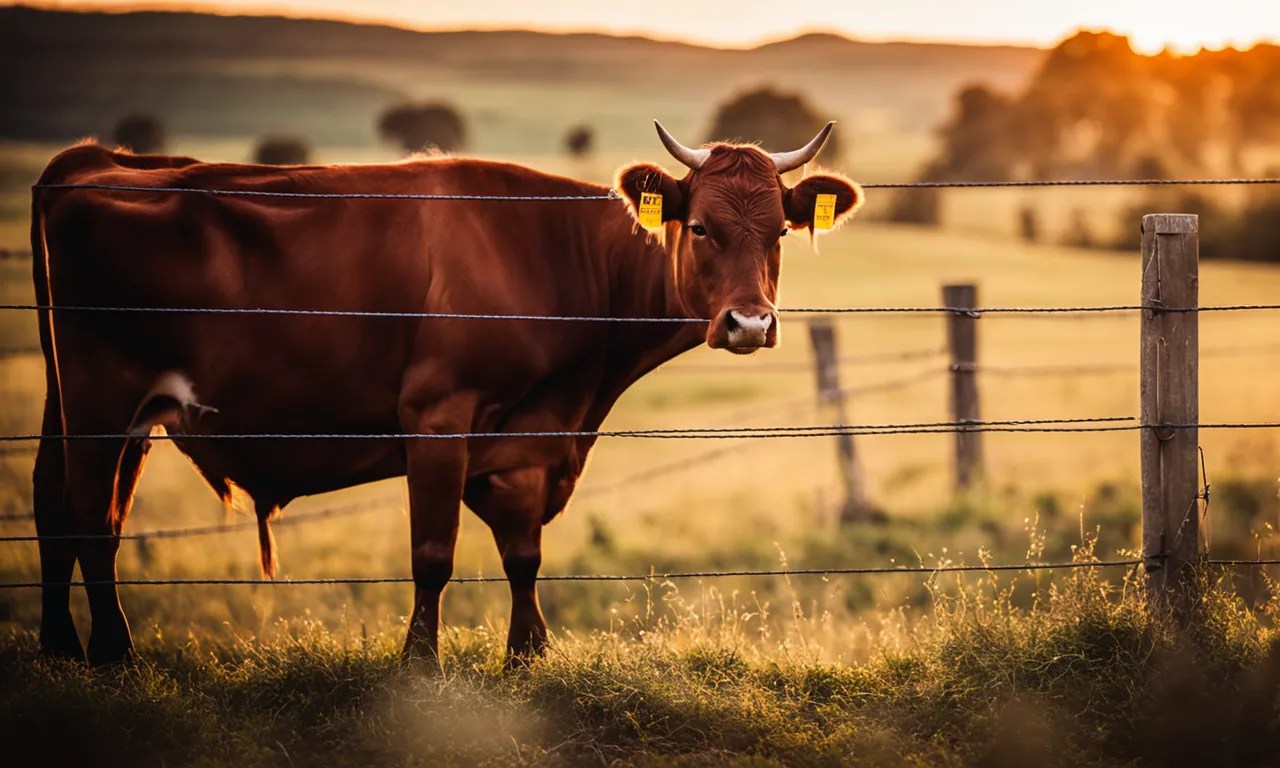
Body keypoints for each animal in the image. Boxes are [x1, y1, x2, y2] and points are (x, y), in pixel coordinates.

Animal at [30, 122, 862, 666]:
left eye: (778, 235)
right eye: (701, 227)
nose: (751, 323)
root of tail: (97, 161)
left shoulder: (528, 438)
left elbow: (523, 554)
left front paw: (528, 658)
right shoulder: (437, 418)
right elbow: (433, 553)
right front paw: (420, 666)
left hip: (87, 409)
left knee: (53, 506)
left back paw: (61, 647)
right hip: (102, 402)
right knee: (91, 516)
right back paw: (113, 651)